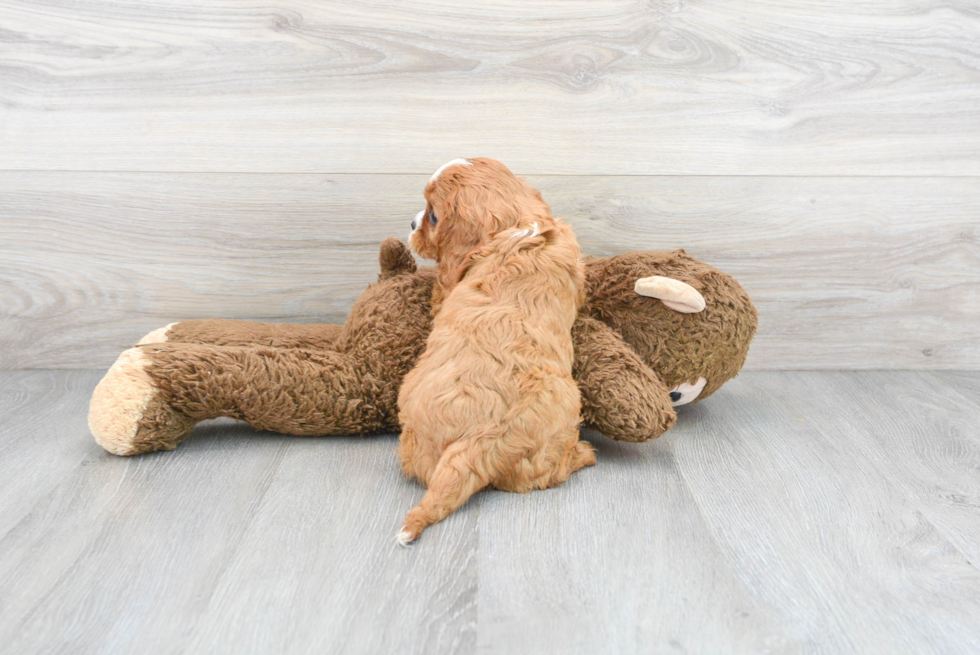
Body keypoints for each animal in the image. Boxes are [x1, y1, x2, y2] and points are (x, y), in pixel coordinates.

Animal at [394, 156, 592, 544]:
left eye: (433, 216)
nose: (410, 224)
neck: (518, 226)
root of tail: (478, 439)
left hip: (411, 440)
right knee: (539, 477)